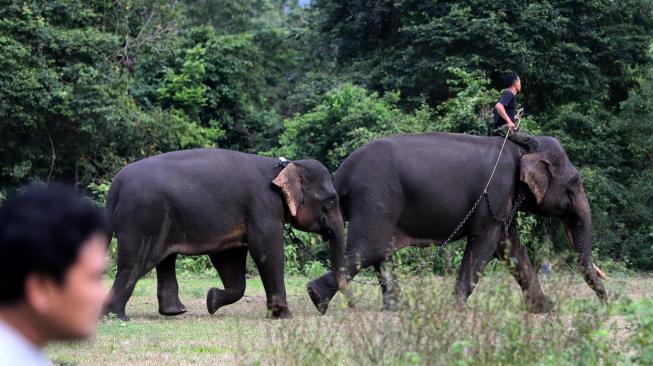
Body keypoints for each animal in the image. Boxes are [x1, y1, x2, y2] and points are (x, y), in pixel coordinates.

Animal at [102, 149, 346, 320]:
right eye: (330, 201)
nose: (321, 309)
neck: (282, 167)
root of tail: (115, 186)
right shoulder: (263, 206)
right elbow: (267, 251)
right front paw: (284, 316)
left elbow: (230, 259)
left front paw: (211, 300)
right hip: (143, 218)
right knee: (133, 265)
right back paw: (117, 317)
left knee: (164, 260)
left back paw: (175, 312)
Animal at [306, 133, 608, 314]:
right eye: (575, 182)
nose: (606, 303)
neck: (521, 149)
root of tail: (339, 175)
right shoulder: (496, 193)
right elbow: (485, 244)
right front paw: (457, 308)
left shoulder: (504, 203)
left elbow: (509, 247)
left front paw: (545, 308)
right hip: (376, 199)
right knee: (368, 249)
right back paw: (317, 298)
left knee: (380, 252)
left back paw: (397, 308)